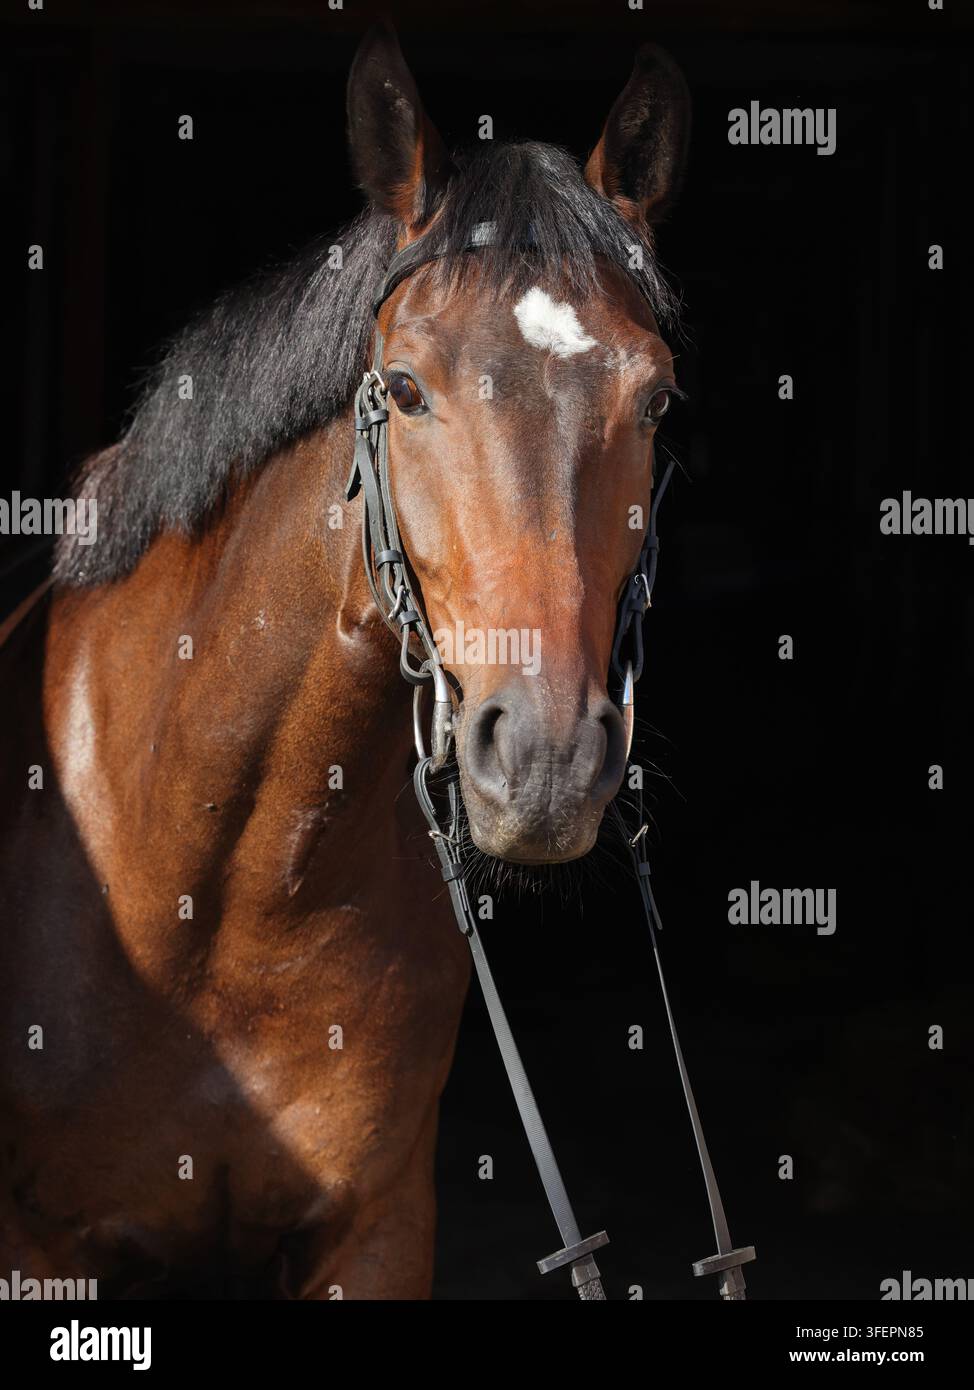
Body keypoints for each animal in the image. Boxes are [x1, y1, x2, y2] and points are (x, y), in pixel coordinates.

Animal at [0, 26, 690, 1298]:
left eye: (657, 398)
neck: (215, 892)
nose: (548, 759)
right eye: (405, 388)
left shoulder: (374, 1232)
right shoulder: (41, 1246)